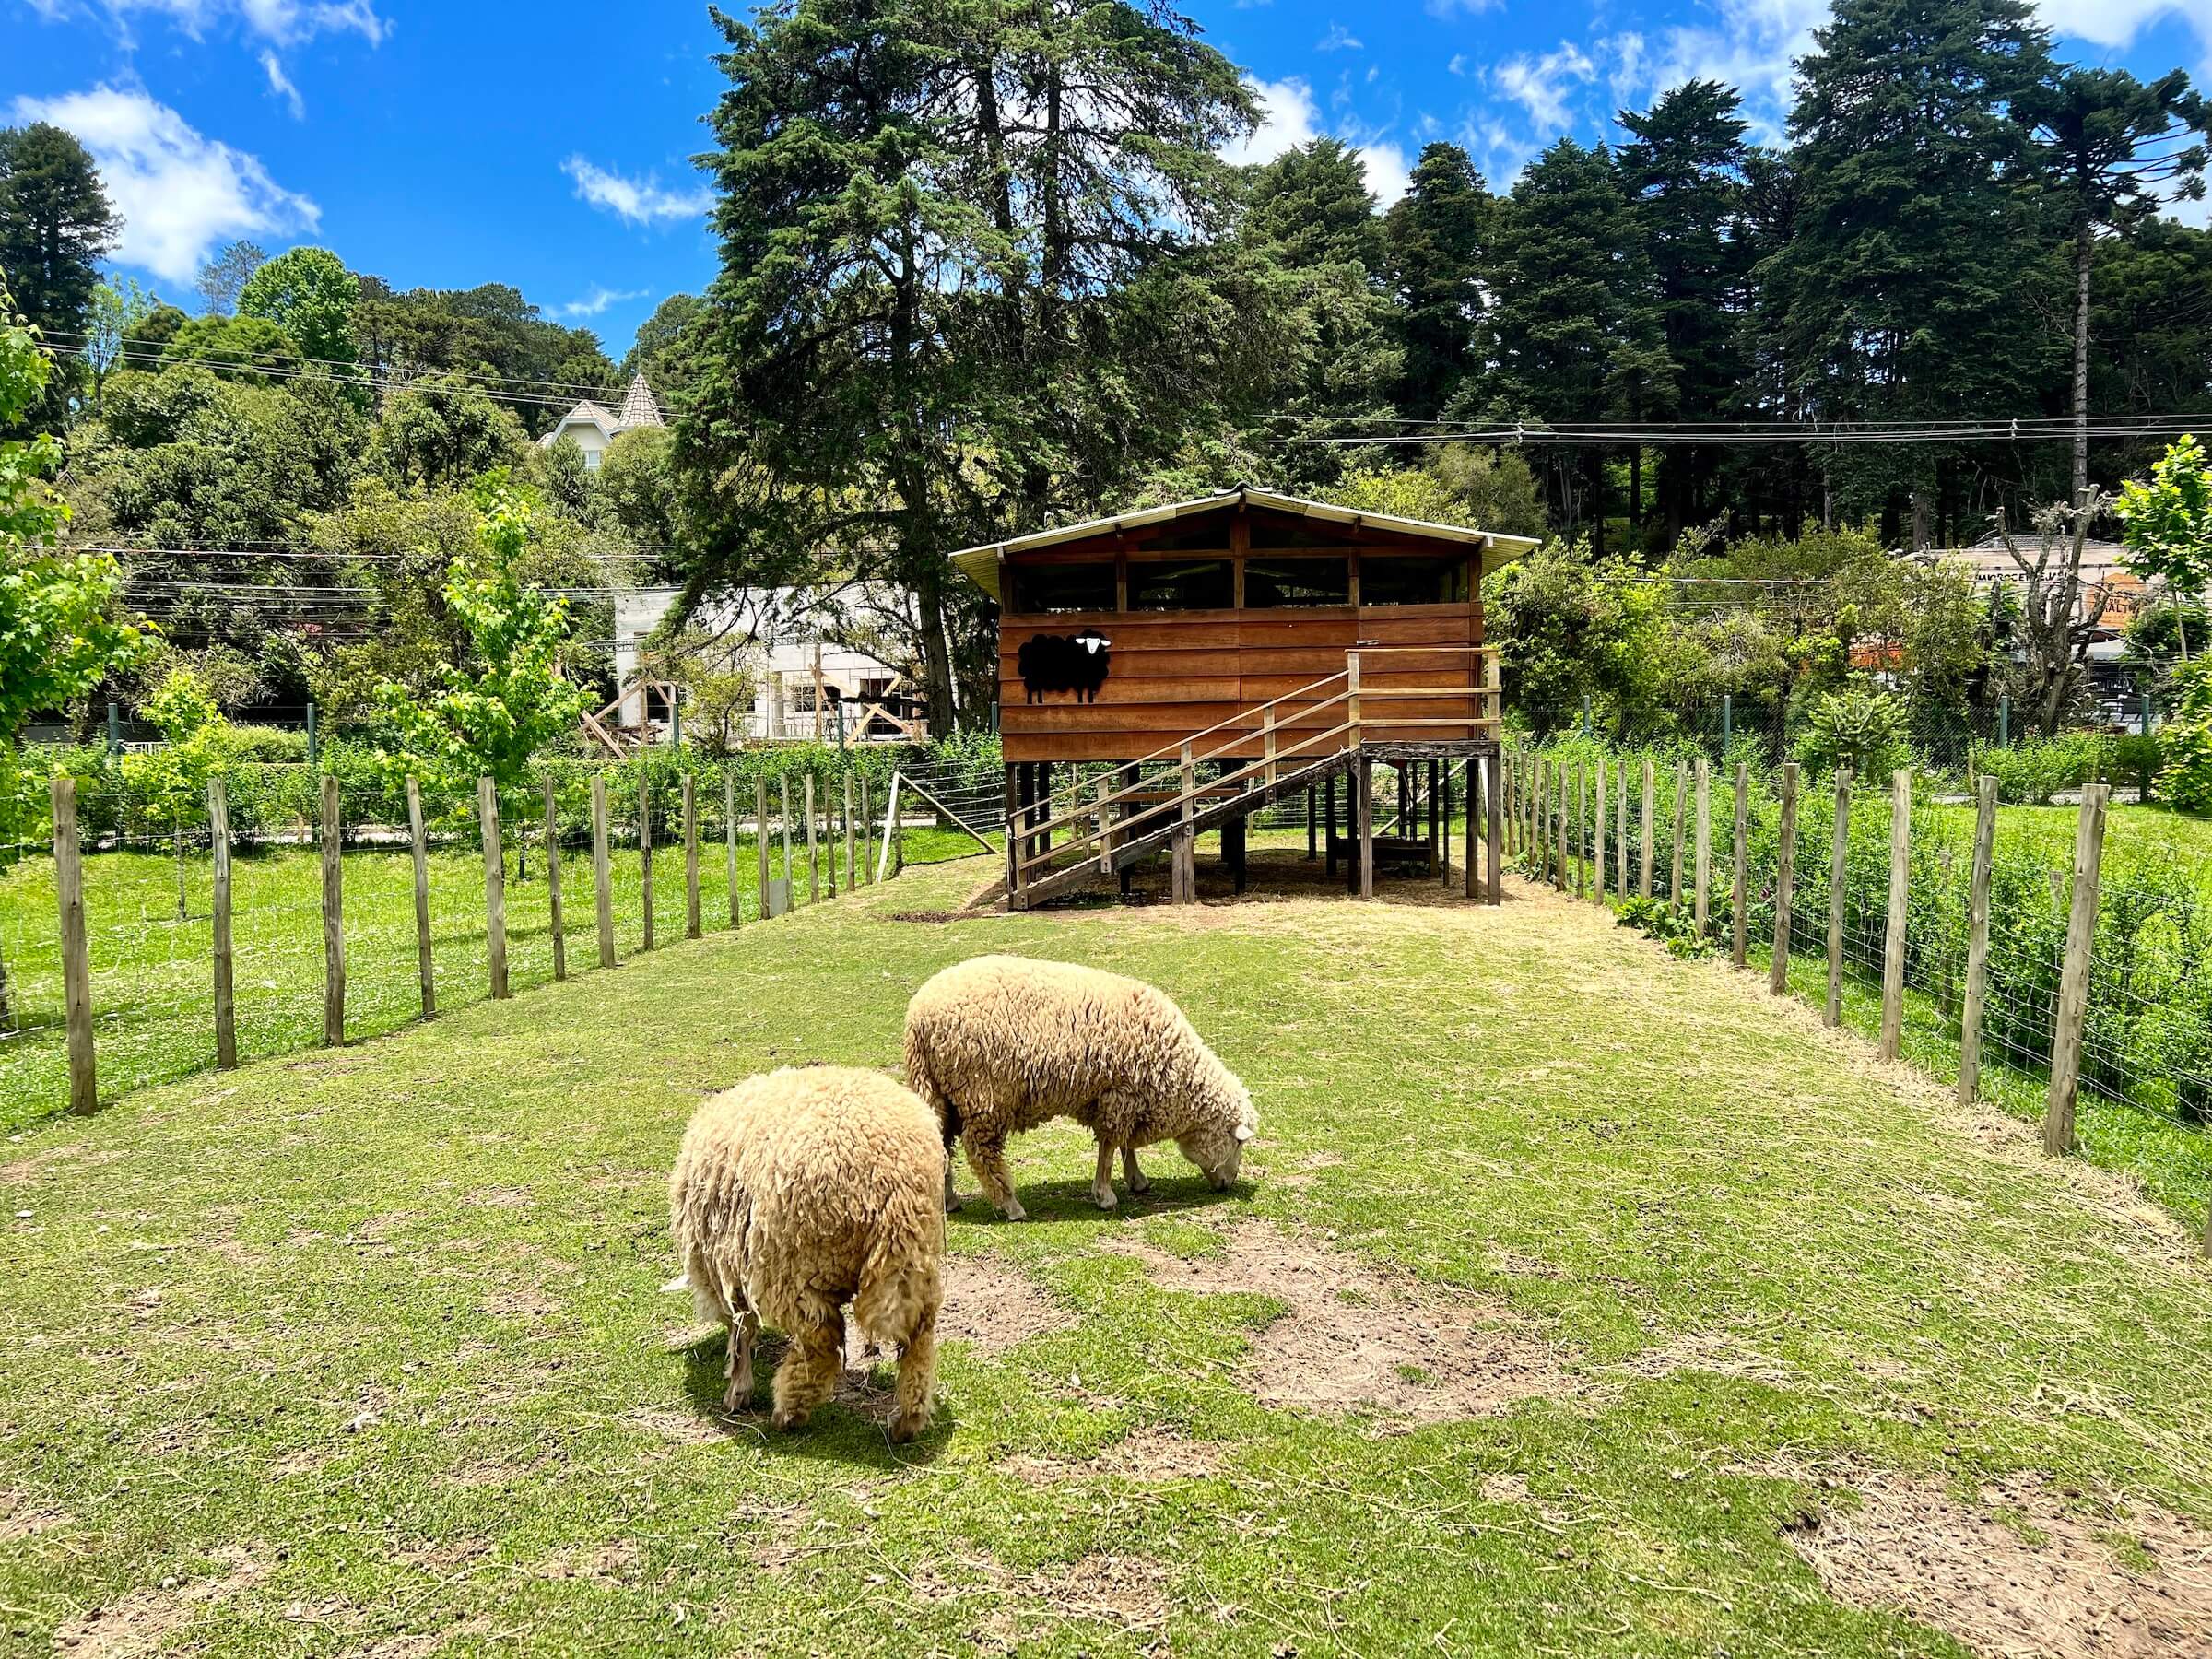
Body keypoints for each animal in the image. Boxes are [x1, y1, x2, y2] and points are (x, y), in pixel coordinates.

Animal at [672, 1065, 951, 1441]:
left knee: (821, 1345)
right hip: (916, 1259)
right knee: (918, 1338)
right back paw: (907, 1421)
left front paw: (738, 1391)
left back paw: (787, 1412)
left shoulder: (731, 1272)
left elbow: (741, 1329)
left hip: (796, 1272)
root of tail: (896, 1183)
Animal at [888, 959, 1256, 1220]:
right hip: (983, 1093)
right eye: (1238, 1143)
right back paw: (1011, 1206)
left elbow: (1125, 1145)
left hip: (940, 1091)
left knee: (939, 1143)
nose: (1228, 1185)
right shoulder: (1118, 1095)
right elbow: (1110, 1147)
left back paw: (949, 1201)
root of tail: (919, 1017)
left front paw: (1136, 1179)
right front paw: (1105, 1195)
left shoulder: (1127, 1096)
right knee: (981, 1152)